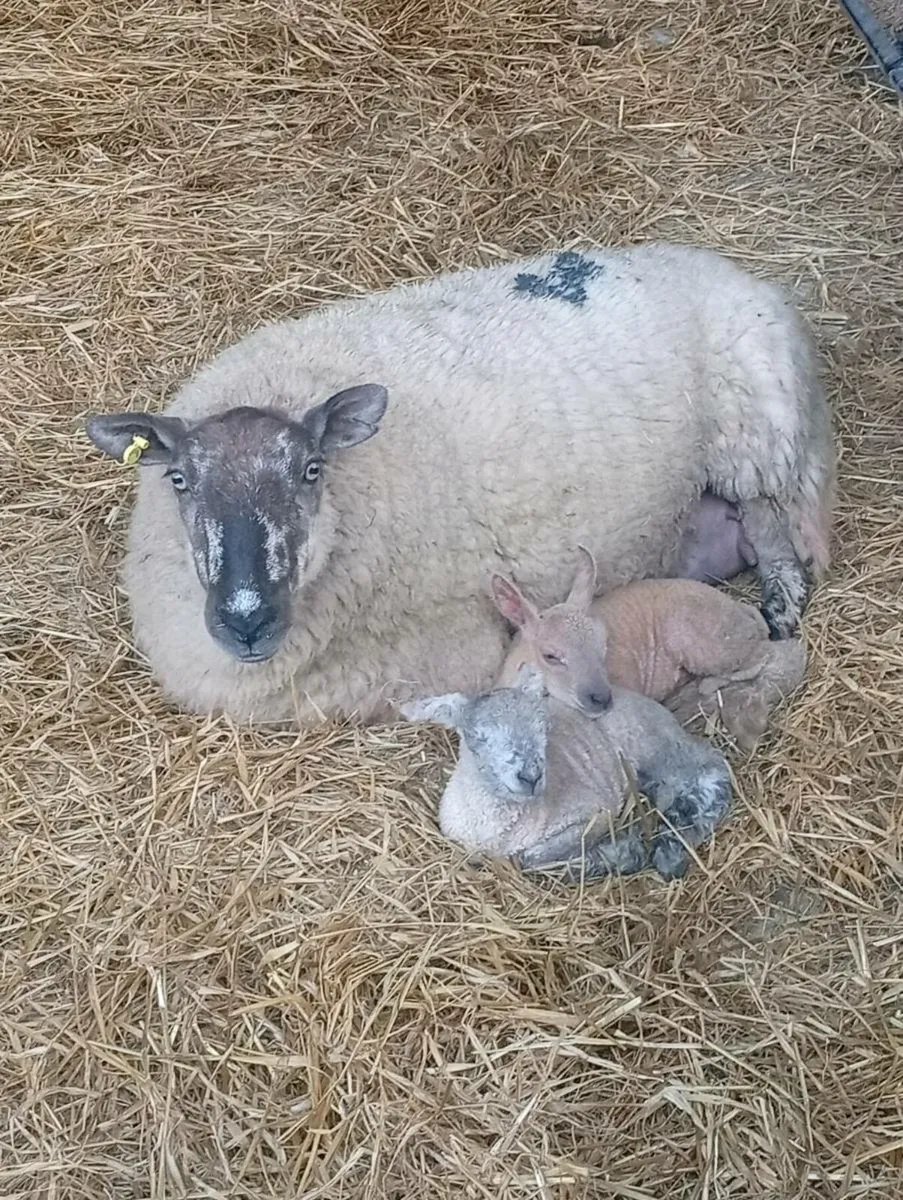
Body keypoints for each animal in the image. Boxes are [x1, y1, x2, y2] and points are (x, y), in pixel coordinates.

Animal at [84, 241, 834, 727]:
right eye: (179, 478)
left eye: (311, 470)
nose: (246, 619)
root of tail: (738, 276)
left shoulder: (457, 651)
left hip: (754, 433)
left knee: (774, 519)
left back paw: (781, 601)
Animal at [400, 664, 732, 882]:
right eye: (477, 736)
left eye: (543, 727)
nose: (531, 777)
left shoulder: (595, 813)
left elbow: (532, 858)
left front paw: (623, 853)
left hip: (659, 747)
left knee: (710, 771)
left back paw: (670, 851)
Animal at [492, 546, 808, 751]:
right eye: (551, 656)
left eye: (603, 647)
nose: (601, 698)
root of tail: (744, 612)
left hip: (702, 639)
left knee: (769, 654)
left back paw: (711, 685)